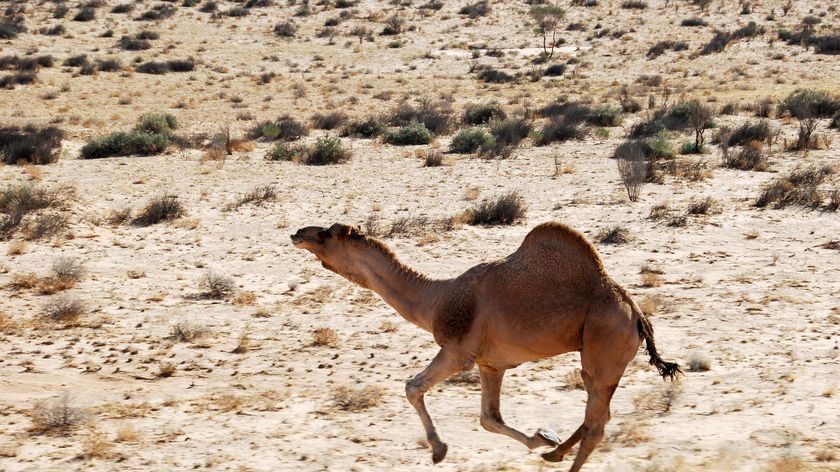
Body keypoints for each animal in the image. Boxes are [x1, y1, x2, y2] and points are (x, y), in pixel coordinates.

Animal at [292, 222, 680, 472]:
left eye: (326, 234)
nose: (298, 234)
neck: (435, 300)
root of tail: (636, 313)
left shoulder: (458, 353)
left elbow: (413, 387)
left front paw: (439, 450)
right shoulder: (491, 364)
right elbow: (489, 418)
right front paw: (542, 438)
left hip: (606, 343)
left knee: (596, 423)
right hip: (599, 356)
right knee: (596, 413)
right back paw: (554, 453)